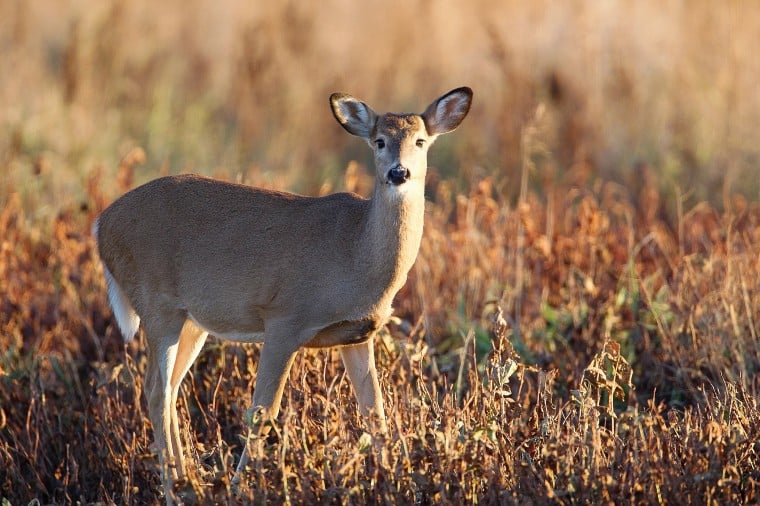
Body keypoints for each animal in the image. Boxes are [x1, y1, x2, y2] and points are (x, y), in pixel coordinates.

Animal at [92, 86, 472, 498]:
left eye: (420, 141)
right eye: (379, 141)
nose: (398, 172)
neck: (356, 254)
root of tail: (101, 224)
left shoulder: (358, 334)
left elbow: (375, 412)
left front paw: (396, 479)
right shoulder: (284, 318)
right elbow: (262, 413)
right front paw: (242, 488)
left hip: (191, 320)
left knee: (171, 387)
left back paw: (190, 479)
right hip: (156, 302)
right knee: (154, 390)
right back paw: (174, 488)